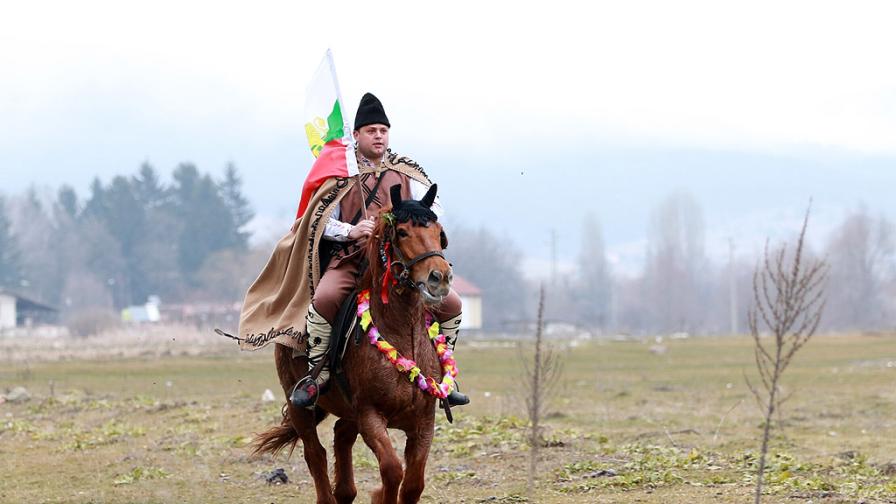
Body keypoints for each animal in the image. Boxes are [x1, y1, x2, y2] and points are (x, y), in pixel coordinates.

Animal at [256, 184, 456, 504]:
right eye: (402, 232)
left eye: (439, 232)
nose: (440, 278)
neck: (403, 336)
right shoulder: (370, 417)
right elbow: (392, 471)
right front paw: (381, 494)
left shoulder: (423, 422)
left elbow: (413, 485)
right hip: (300, 405)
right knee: (315, 453)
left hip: (348, 412)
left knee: (340, 437)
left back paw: (345, 491)